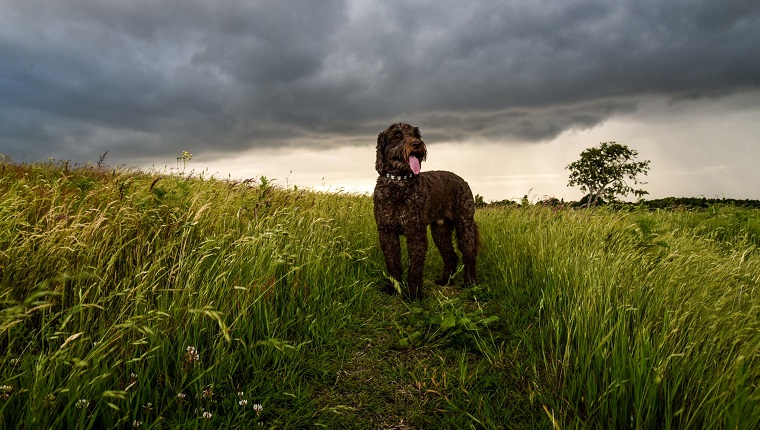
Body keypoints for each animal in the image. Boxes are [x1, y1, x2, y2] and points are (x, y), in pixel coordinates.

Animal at [374, 122, 480, 298]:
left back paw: (470, 283)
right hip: (440, 231)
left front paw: (413, 294)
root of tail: (462, 180)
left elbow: (415, 267)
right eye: (398, 135)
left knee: (469, 255)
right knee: (451, 257)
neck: (400, 183)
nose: (417, 144)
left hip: (464, 226)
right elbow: (393, 264)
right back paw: (445, 281)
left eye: (416, 134)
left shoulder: (415, 233)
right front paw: (393, 289)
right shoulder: (387, 233)